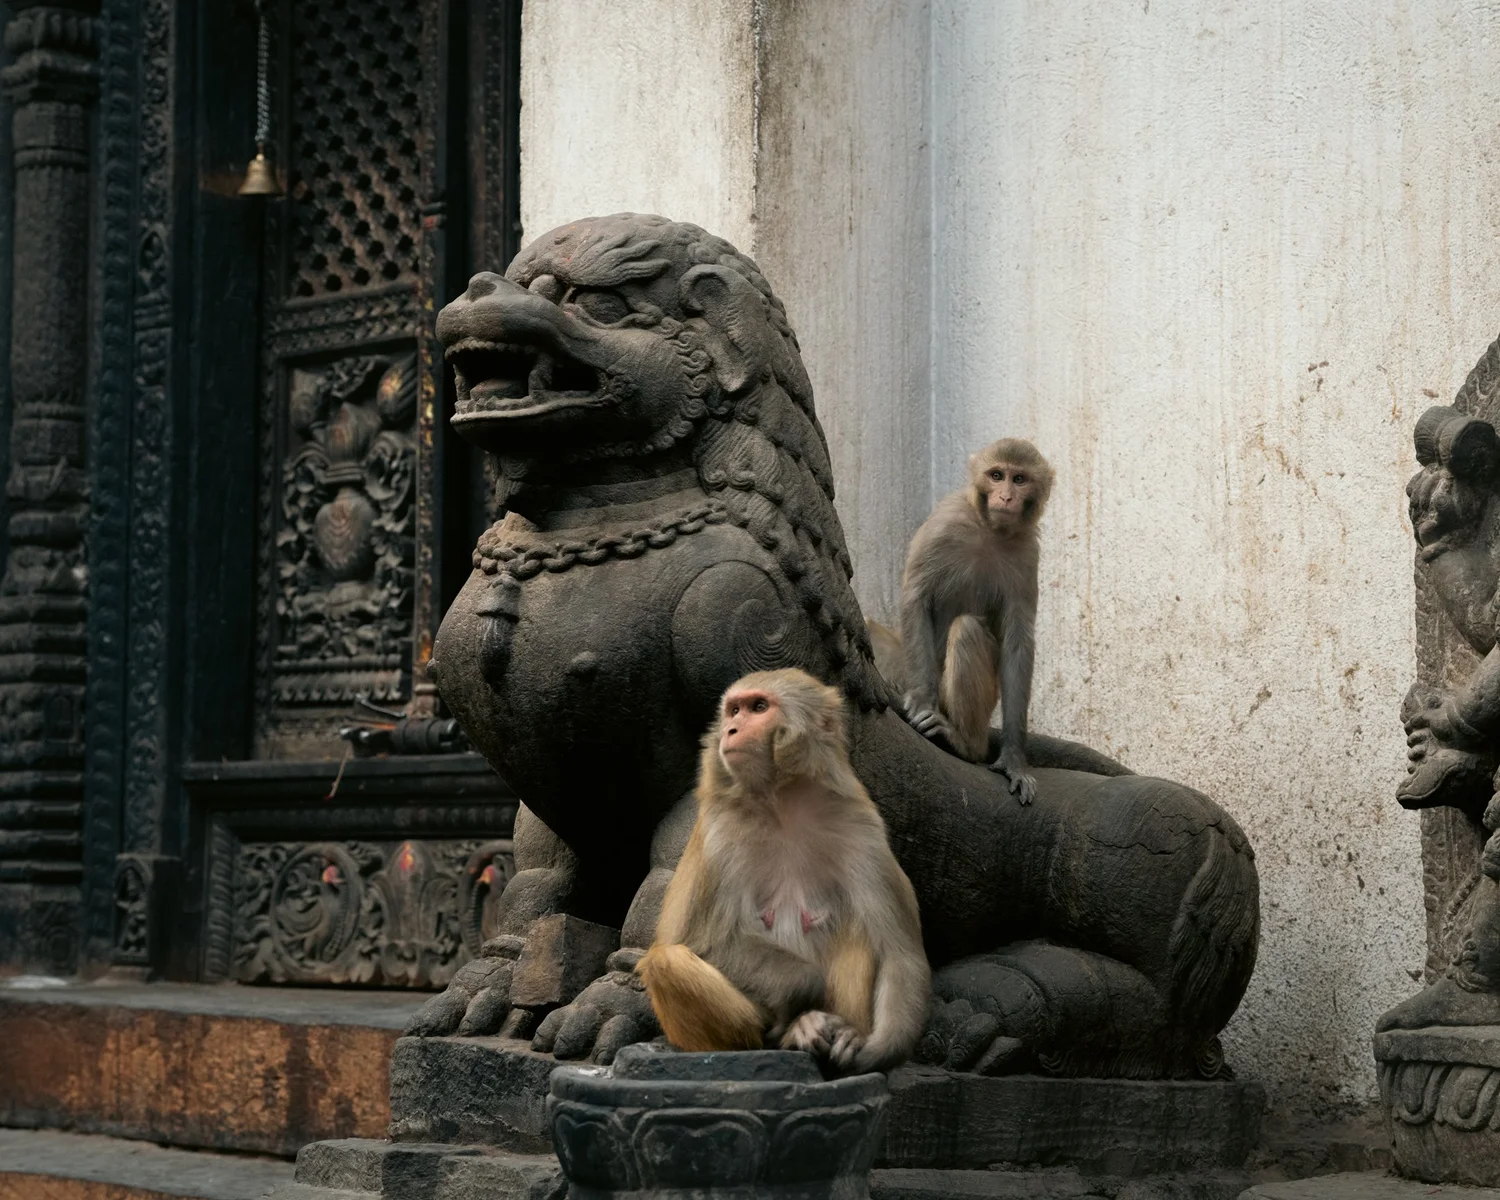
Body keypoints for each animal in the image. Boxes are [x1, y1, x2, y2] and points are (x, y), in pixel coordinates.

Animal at [636, 668, 930, 1074]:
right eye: (734, 711)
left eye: (759, 707)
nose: (730, 730)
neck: (782, 802)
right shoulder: (720, 834)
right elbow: (701, 940)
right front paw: (806, 986)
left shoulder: (861, 828)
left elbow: (899, 954)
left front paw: (872, 1050)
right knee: (667, 961)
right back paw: (787, 1033)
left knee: (857, 927)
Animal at [874, 438, 1054, 805]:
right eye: (996, 475)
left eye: (1019, 479)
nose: (1006, 497)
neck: (989, 529)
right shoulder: (945, 521)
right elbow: (916, 597)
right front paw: (921, 700)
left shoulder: (1028, 553)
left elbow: (1017, 644)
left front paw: (1014, 760)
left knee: (967, 628)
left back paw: (966, 745)